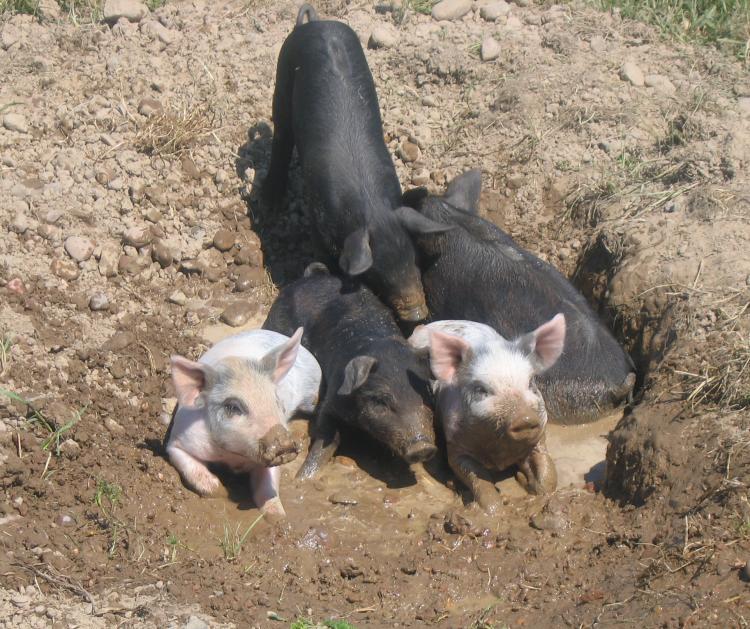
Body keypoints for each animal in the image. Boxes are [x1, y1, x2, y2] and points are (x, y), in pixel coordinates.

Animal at [266, 6, 452, 324]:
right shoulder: (318, 223)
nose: (416, 314)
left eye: (414, 260)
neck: (371, 209)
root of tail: (315, 23)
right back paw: (270, 205)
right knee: (281, 135)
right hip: (283, 70)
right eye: (379, 276)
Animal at [266, 262, 438, 476]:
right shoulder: (332, 397)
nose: (423, 447)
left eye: (426, 395)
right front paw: (304, 477)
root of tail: (310, 277)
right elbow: (326, 437)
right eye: (380, 401)